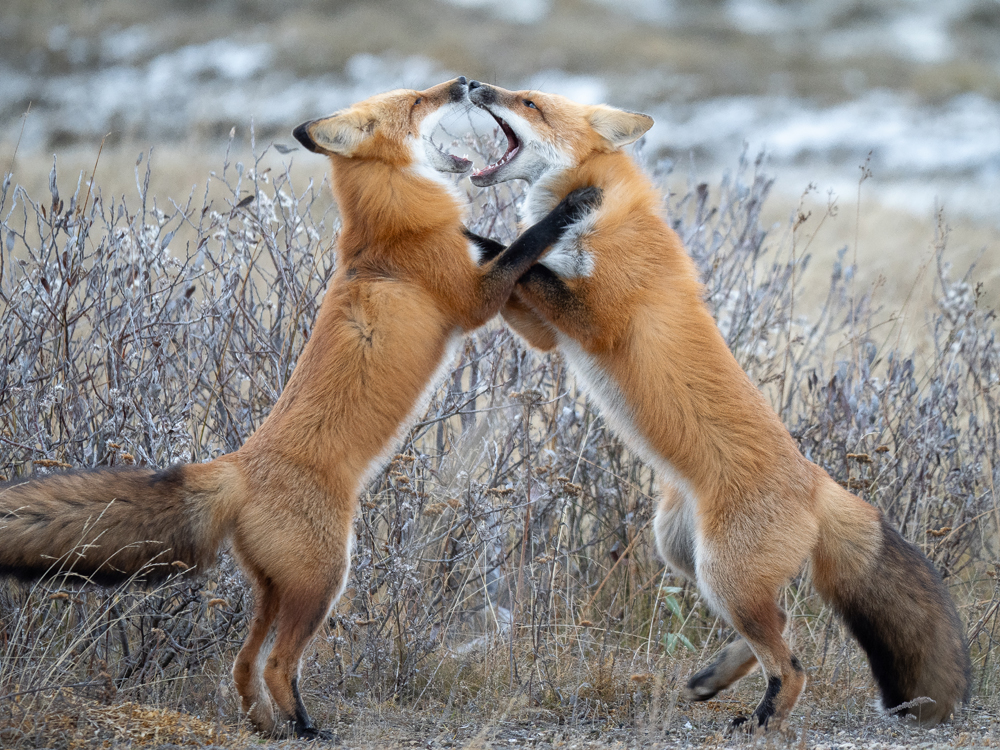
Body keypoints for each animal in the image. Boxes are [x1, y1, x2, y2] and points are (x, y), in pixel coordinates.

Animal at [0, 77, 600, 739]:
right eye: (418, 101)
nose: (465, 83)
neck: (390, 222)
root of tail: (237, 465)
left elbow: (510, 255)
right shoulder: (471, 299)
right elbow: (524, 246)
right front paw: (569, 209)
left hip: (274, 587)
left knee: (243, 663)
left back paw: (267, 726)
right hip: (324, 579)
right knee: (277, 662)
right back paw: (307, 727)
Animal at [465, 80, 971, 730]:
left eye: (529, 103)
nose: (474, 86)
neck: (603, 214)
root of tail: (817, 481)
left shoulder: (598, 318)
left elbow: (525, 258)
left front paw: (495, 229)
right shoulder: (549, 333)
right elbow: (515, 269)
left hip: (723, 574)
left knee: (791, 660)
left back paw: (763, 718)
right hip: (686, 556)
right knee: (780, 624)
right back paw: (717, 678)